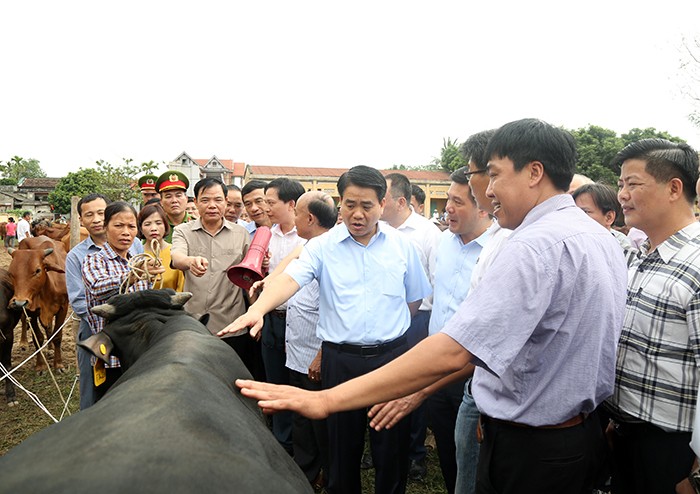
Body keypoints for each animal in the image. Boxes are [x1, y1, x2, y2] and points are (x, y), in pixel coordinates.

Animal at [8, 235, 67, 370]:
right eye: (10, 273)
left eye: (38, 270)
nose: (19, 303)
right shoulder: (31, 310)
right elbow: (38, 338)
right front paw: (40, 366)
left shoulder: (63, 307)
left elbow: (57, 336)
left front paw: (58, 364)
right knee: (24, 320)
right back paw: (23, 342)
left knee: (49, 327)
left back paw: (50, 348)